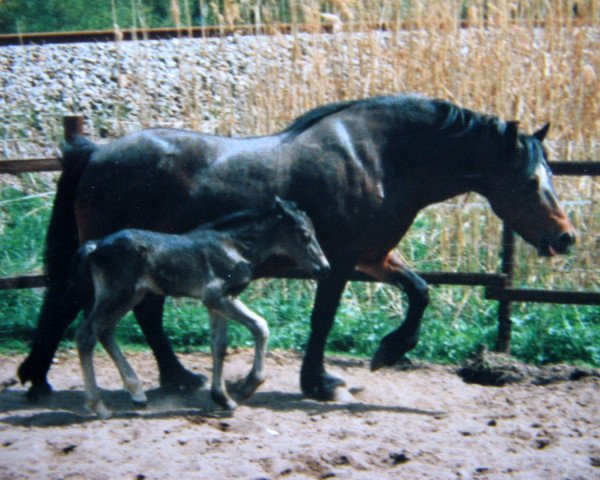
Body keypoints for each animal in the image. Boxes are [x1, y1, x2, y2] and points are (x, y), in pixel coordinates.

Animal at [75, 197, 330, 418]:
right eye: (305, 235)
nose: (325, 267)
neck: (234, 247)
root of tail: (95, 246)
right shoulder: (215, 297)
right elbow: (260, 326)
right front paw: (247, 386)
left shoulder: (217, 303)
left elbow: (219, 345)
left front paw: (222, 398)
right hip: (117, 295)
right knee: (87, 335)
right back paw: (98, 406)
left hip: (131, 296)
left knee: (105, 332)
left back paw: (137, 392)